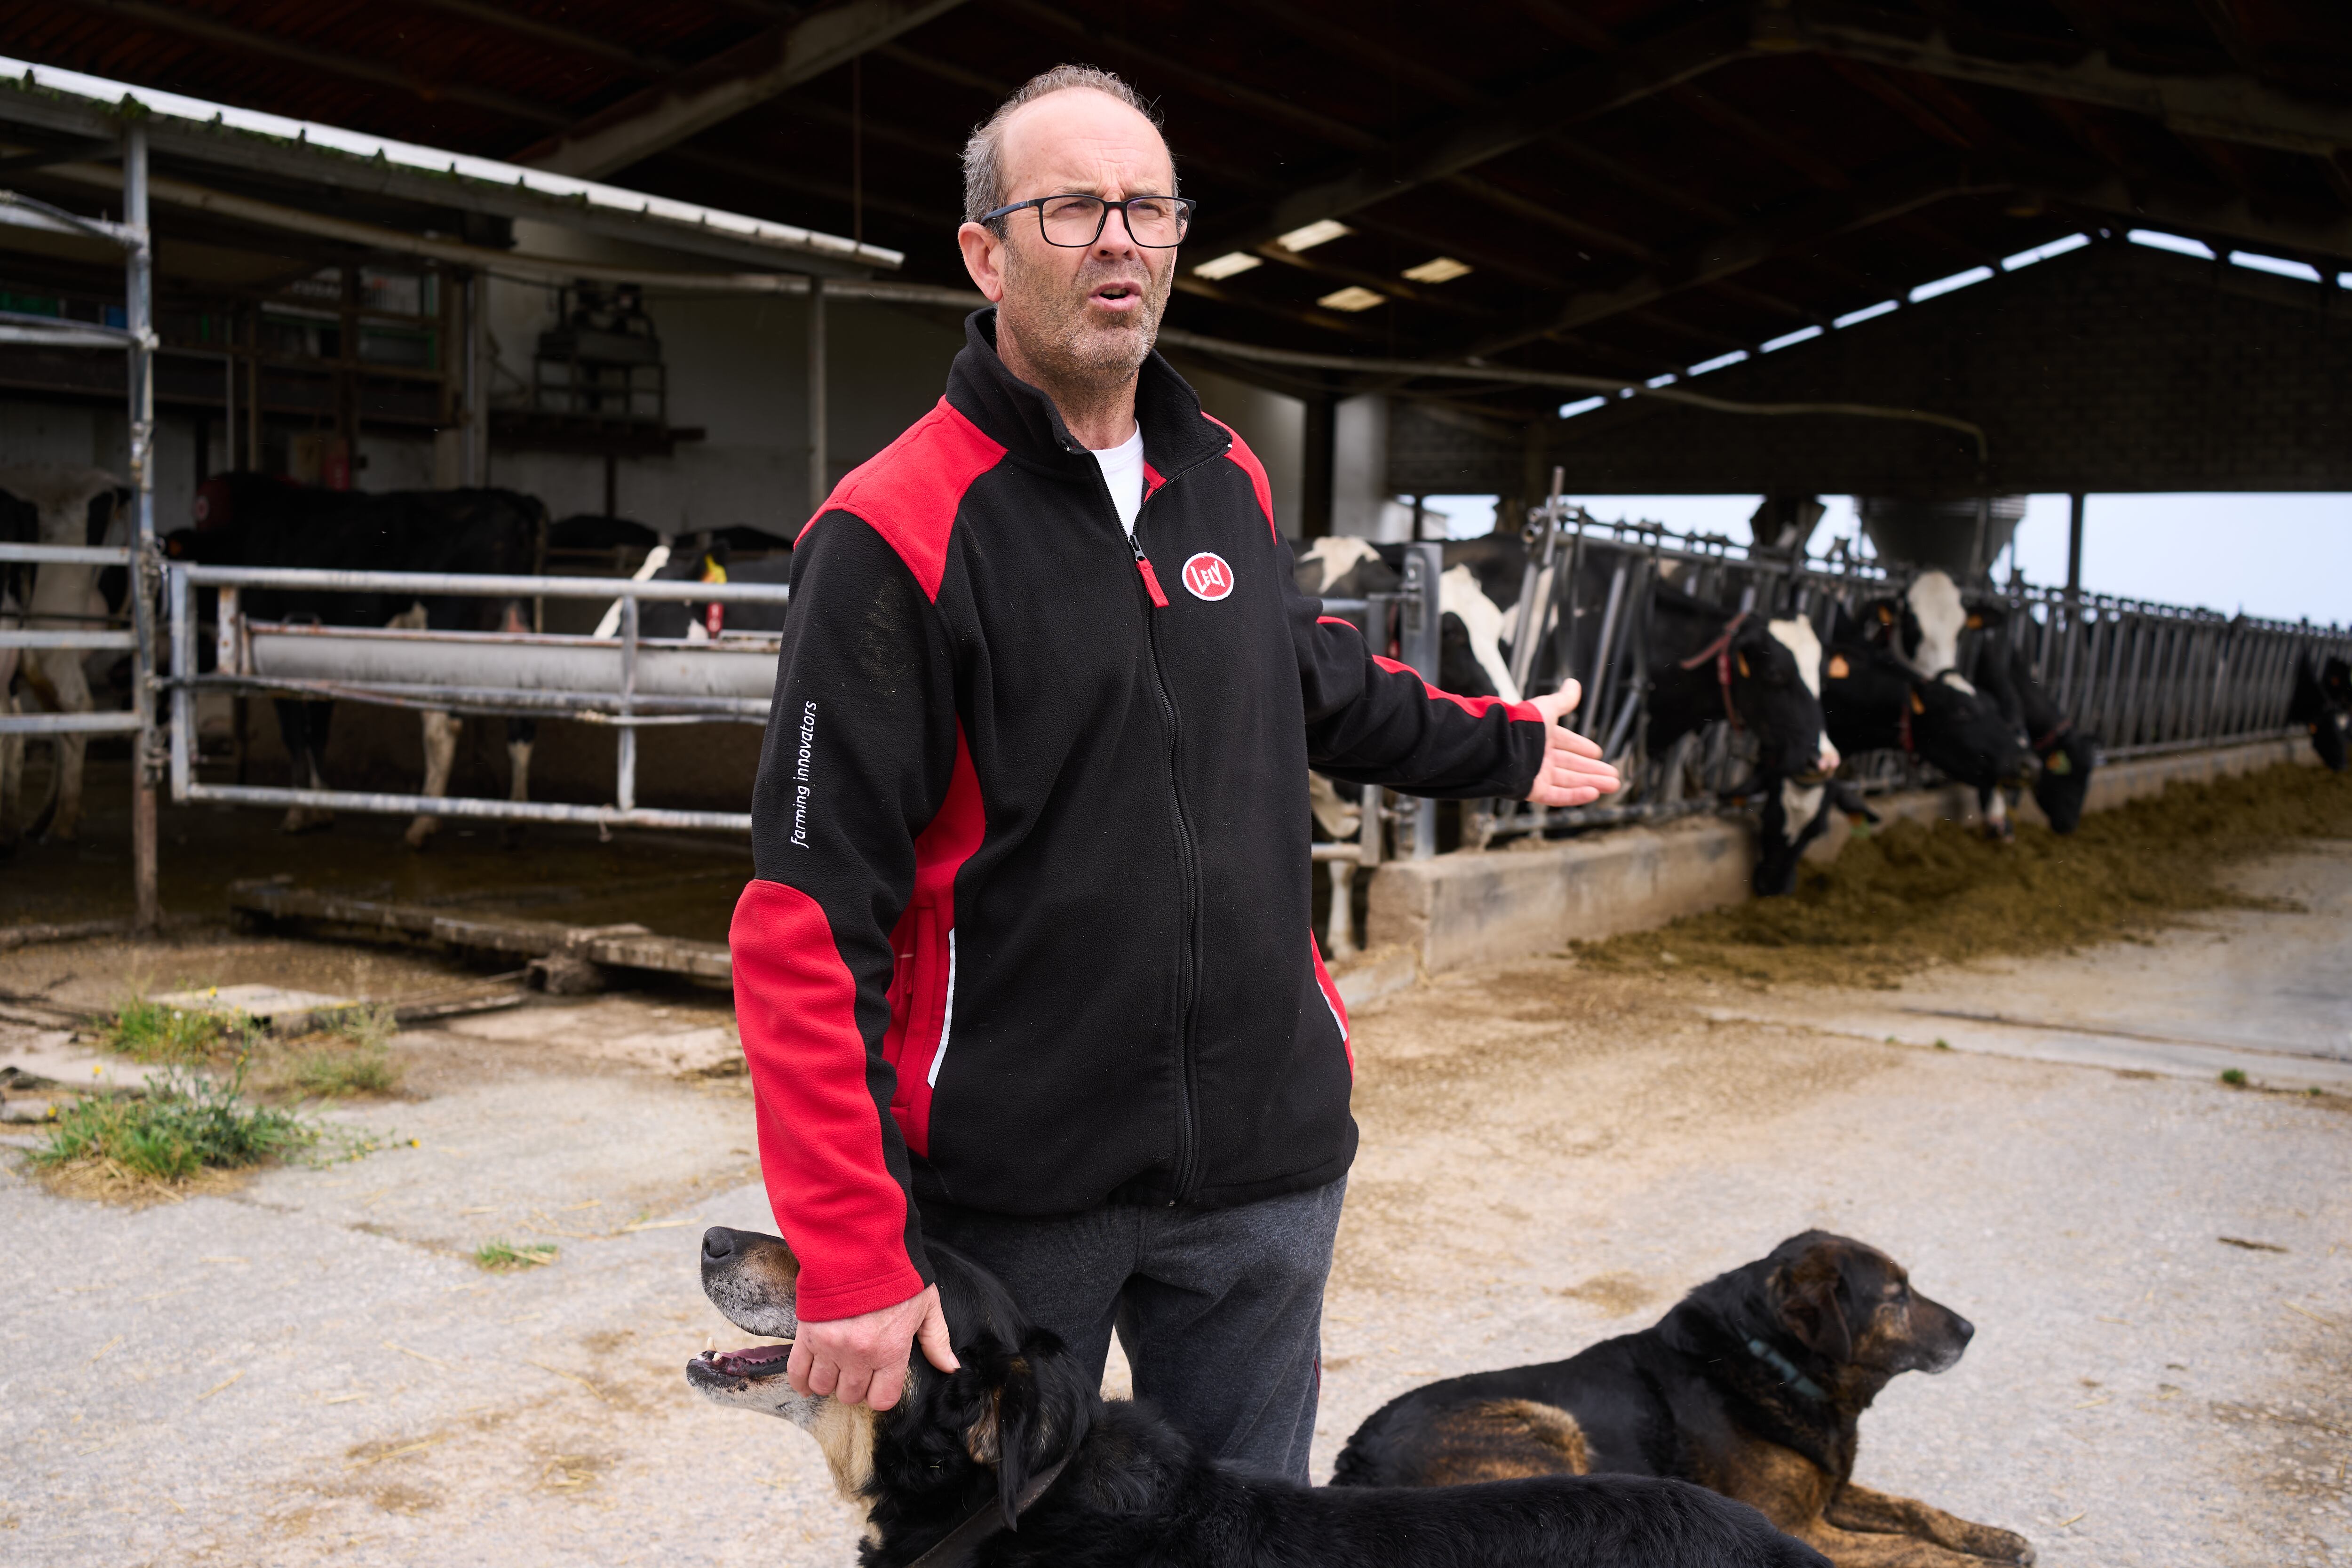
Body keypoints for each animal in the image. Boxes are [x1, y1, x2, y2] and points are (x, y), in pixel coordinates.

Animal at [173, 472, 546, 846]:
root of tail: (510, 500)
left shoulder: (276, 665)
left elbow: (295, 736)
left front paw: (298, 812)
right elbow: (317, 733)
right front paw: (322, 808)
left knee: (442, 729)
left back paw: (423, 823)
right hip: (518, 631)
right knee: (522, 721)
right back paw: (516, 818)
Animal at [1336, 1232, 2032, 1561]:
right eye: (1896, 1296)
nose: (1970, 1330)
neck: (1770, 1359)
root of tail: (1353, 1461)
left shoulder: (1832, 1495)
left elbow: (1918, 1512)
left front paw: (1995, 1539)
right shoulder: (1802, 1525)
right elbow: (1909, 1547)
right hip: (1547, 1429)